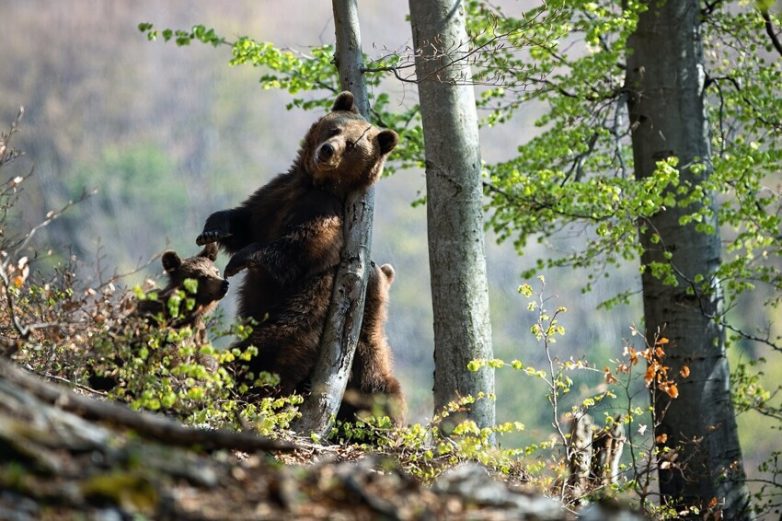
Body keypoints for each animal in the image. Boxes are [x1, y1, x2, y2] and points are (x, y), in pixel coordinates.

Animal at [199, 89, 402, 398]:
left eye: (352, 144)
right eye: (335, 129)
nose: (327, 150)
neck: (314, 183)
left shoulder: (322, 212)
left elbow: (302, 246)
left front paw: (239, 260)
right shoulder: (276, 194)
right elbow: (246, 221)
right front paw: (212, 230)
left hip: (306, 310)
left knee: (272, 343)